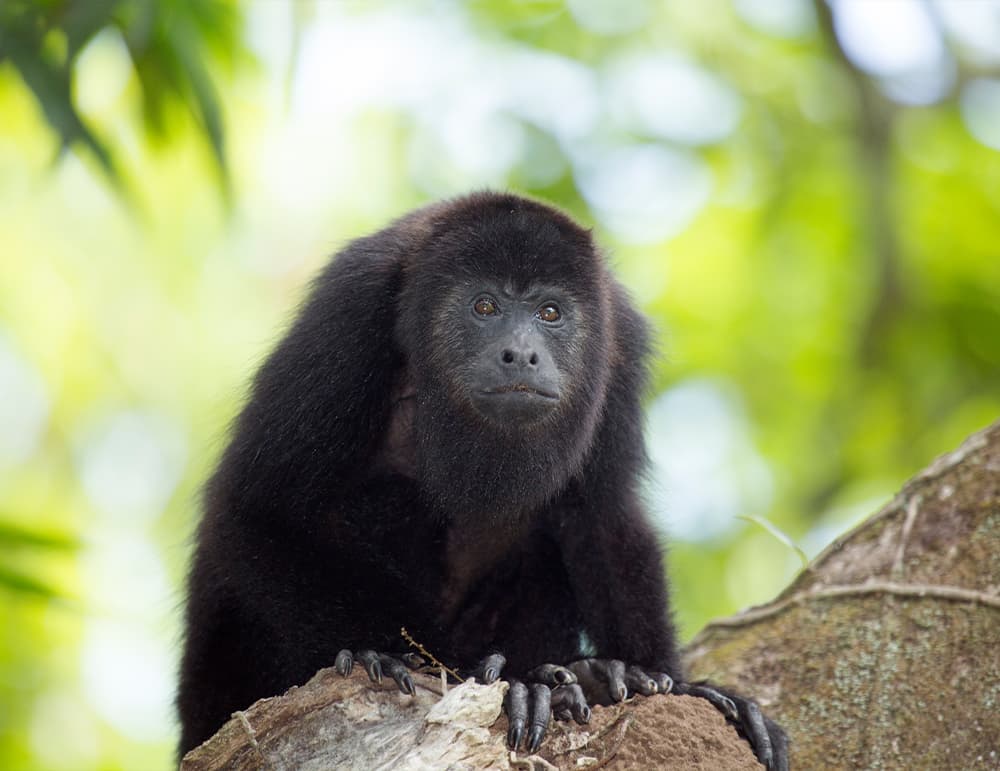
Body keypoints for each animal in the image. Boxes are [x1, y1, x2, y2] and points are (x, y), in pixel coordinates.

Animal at [177, 191, 788, 769]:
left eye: (549, 312)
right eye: (485, 305)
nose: (521, 353)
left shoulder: (620, 344)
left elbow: (603, 514)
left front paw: (660, 679)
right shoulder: (347, 310)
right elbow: (261, 504)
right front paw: (397, 656)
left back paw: (580, 676)